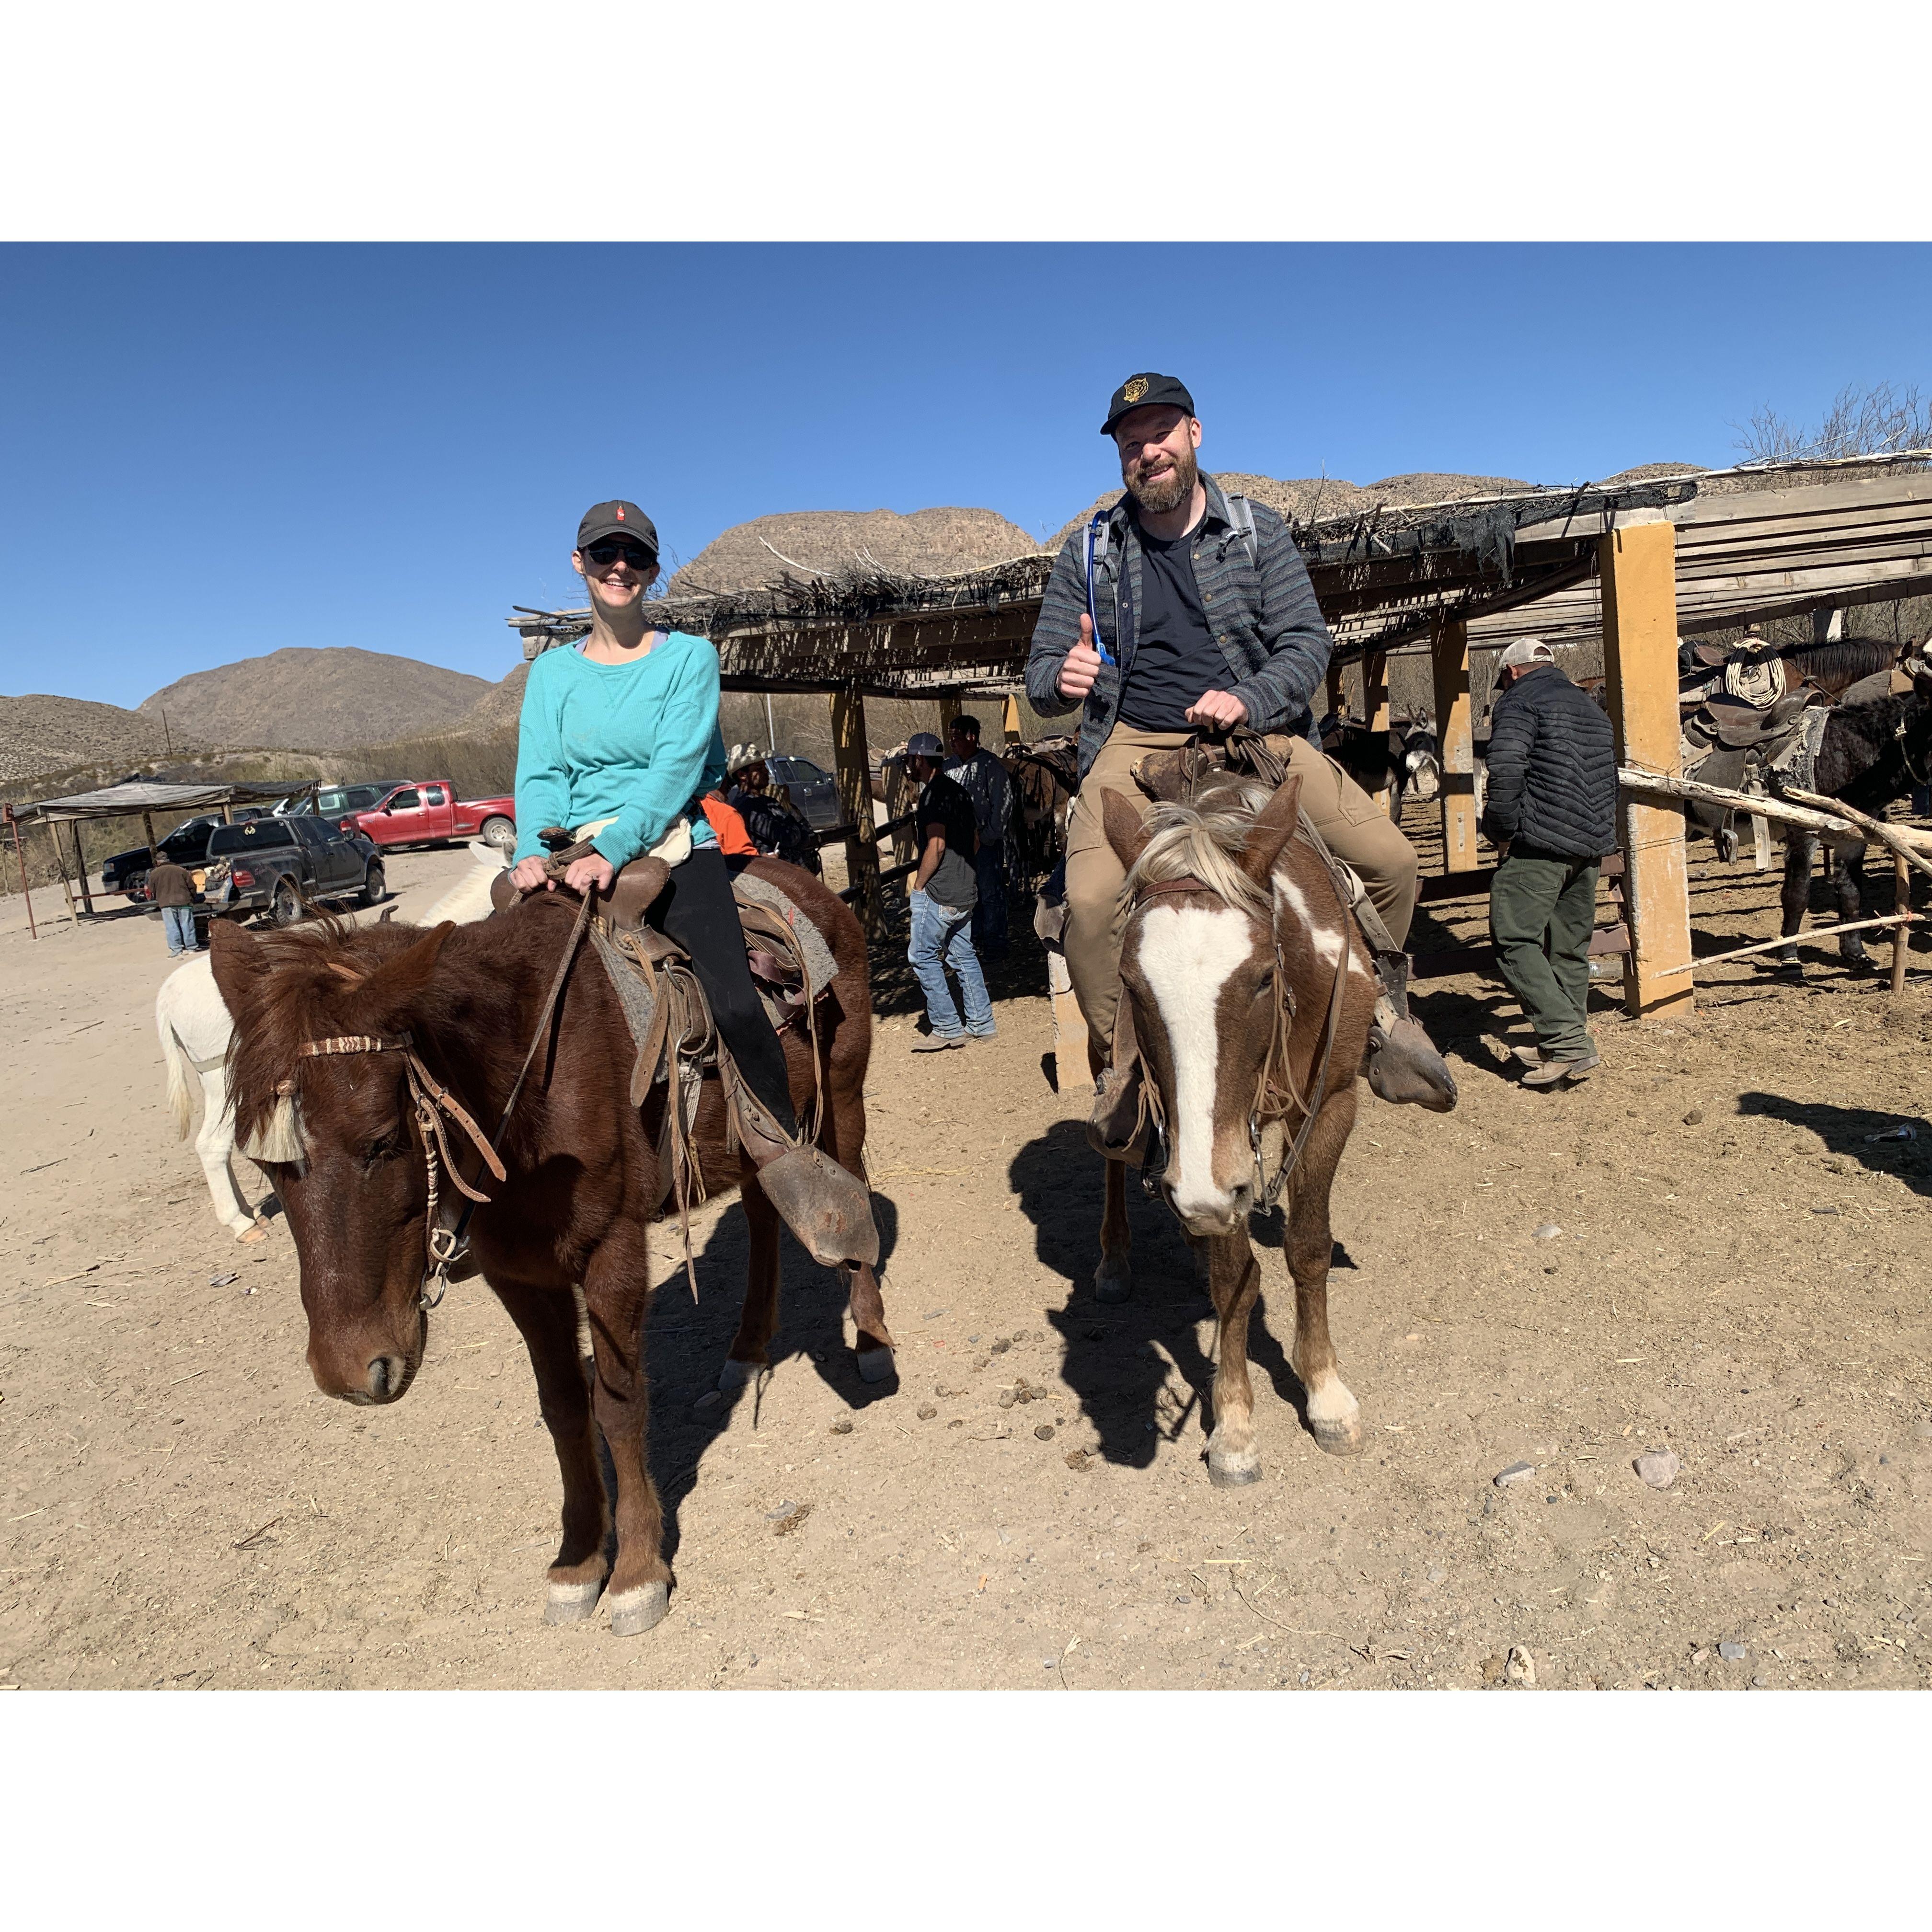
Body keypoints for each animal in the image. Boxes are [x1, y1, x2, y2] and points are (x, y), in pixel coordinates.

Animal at [215, 869, 892, 1638]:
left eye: (383, 1140)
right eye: (264, 1166)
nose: (351, 1372)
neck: (528, 1071)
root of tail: (812, 886)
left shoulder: (610, 1252)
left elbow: (618, 1404)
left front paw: (636, 1575)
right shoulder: (519, 1274)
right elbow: (564, 1408)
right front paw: (577, 1562)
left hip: (843, 1097)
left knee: (853, 1188)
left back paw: (872, 1341)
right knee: (761, 1218)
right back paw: (746, 1352)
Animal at [1097, 776, 1383, 1484]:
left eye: (1262, 977)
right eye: (1132, 984)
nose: (1195, 1196)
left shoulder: (1330, 1103)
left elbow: (1308, 1247)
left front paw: (1327, 1395)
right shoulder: (1207, 1165)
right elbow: (1235, 1277)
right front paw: (1233, 1425)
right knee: (1114, 1154)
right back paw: (1115, 1259)